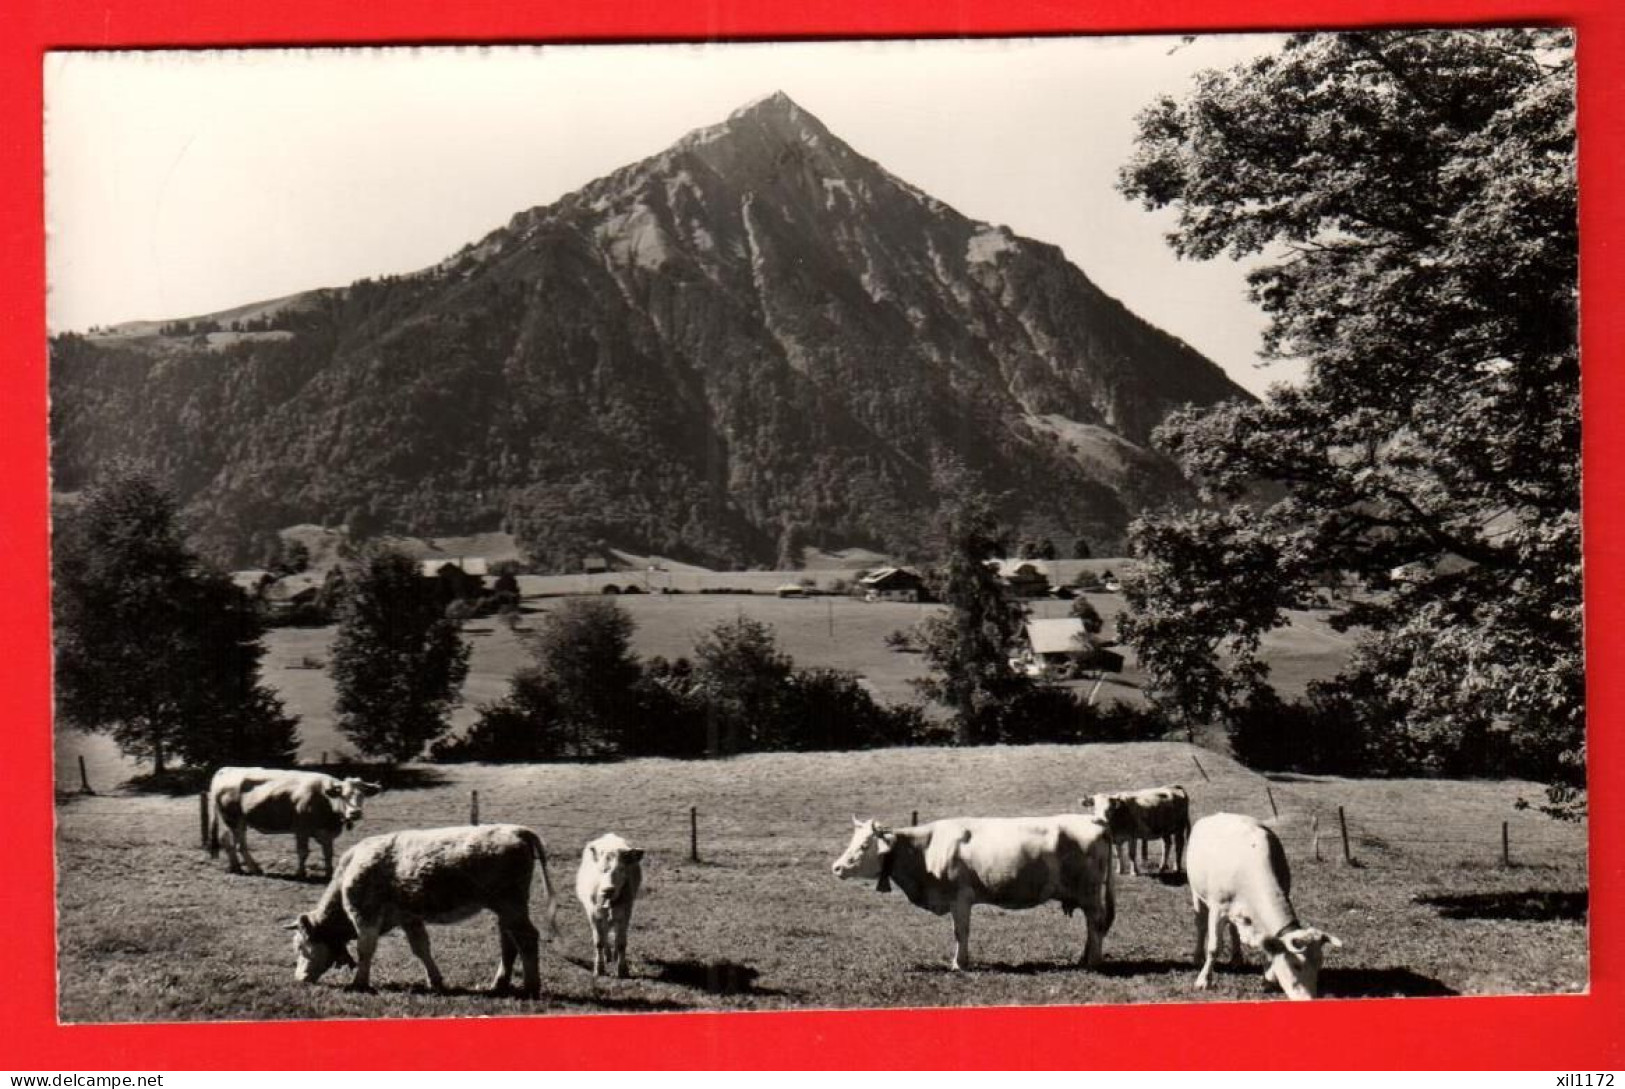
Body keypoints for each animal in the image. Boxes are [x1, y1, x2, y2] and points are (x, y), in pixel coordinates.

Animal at [282, 828, 555, 1001]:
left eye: (301, 947)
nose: (298, 979)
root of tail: (516, 830)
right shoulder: (409, 918)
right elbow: (421, 948)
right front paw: (436, 982)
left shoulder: (365, 915)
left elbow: (365, 949)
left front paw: (359, 983)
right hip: (505, 908)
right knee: (508, 941)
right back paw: (499, 985)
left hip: (511, 904)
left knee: (527, 938)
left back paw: (531, 987)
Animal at [575, 838, 643, 981]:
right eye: (601, 869)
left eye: (621, 869)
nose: (608, 890)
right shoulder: (594, 915)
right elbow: (599, 942)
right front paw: (599, 969)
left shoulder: (625, 914)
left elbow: (621, 943)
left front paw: (623, 970)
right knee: (604, 934)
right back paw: (607, 955)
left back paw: (614, 955)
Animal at [832, 815, 1111, 975]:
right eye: (853, 840)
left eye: (864, 845)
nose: (836, 867)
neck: (925, 850)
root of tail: (1094, 822)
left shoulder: (960, 898)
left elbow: (961, 932)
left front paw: (959, 964)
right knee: (1091, 926)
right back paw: (1083, 958)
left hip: (1089, 892)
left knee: (1095, 924)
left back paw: (1093, 961)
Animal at [1183, 815, 1345, 1001]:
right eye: (1296, 965)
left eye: (1319, 964)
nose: (1308, 999)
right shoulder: (1218, 908)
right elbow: (1214, 947)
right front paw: (1204, 980)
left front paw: (1268, 978)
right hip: (1196, 893)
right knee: (1201, 925)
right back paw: (1198, 956)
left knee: (1233, 929)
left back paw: (1237, 958)